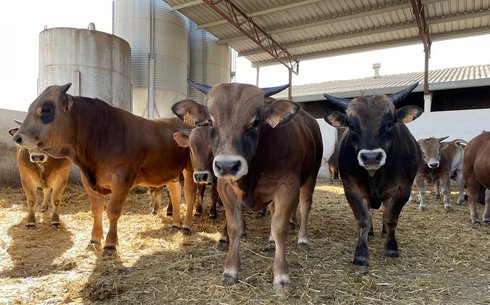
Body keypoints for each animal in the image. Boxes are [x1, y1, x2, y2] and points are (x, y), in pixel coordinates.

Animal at [11, 83, 195, 254]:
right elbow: (97, 210)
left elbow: (112, 210)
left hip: (191, 169)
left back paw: (186, 225)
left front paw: (110, 243)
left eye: (46, 110)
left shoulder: (122, 179)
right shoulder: (88, 181)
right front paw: (94, 239)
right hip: (170, 173)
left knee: (189, 195)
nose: (17, 137)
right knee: (175, 195)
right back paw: (176, 223)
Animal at [170, 80, 324, 284]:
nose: (227, 165)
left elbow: (280, 227)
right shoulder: (225, 187)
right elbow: (234, 226)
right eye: (211, 121)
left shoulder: (287, 187)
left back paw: (303, 239)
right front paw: (230, 269)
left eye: (256, 122)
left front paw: (281, 274)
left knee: (305, 205)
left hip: (311, 174)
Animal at [324, 82, 424, 266]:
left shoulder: (402, 190)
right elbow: (363, 220)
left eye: (390, 123)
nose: (371, 157)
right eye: (352, 126)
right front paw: (361, 254)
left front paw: (391, 247)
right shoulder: (351, 189)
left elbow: (391, 219)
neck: (375, 177)